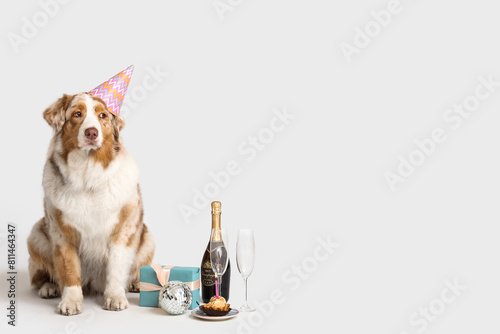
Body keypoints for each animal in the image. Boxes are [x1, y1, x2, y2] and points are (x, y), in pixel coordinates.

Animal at [27, 92, 155, 316]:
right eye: (77, 114)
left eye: (102, 115)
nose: (92, 133)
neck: (88, 178)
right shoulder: (62, 234)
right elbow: (68, 270)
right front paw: (71, 301)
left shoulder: (123, 231)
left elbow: (116, 268)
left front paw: (115, 297)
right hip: (36, 235)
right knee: (44, 275)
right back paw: (50, 287)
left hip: (147, 239)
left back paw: (138, 284)